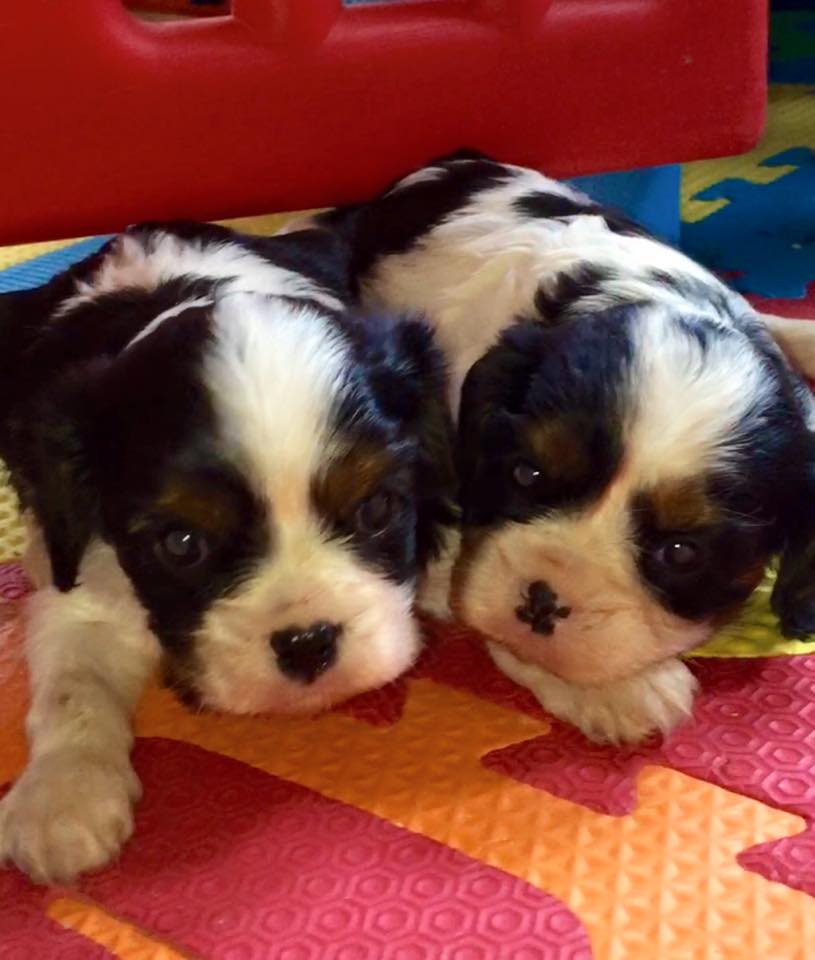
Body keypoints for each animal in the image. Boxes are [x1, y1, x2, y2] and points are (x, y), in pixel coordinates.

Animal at [0, 221, 456, 880]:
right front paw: (64, 797)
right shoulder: (83, 574)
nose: (307, 643)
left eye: (376, 510)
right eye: (182, 544)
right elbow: (73, 678)